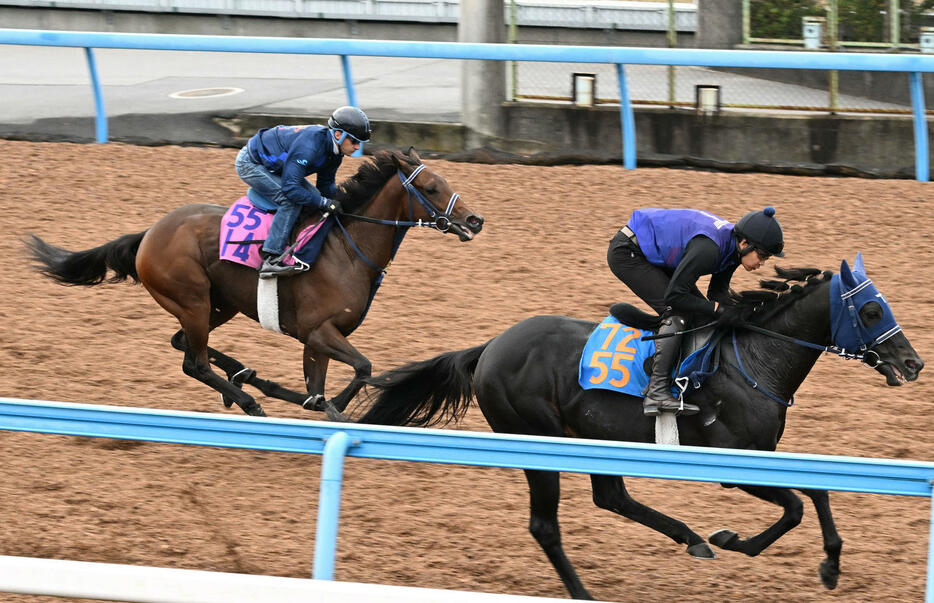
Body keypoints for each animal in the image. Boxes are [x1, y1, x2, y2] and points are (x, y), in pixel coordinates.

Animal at [28, 149, 482, 418]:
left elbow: (321, 386)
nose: (474, 220)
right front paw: (331, 406)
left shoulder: (317, 339)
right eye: (430, 187)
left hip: (219, 303)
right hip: (192, 299)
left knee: (185, 344)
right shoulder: (319, 331)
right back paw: (247, 398)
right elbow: (361, 370)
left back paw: (242, 376)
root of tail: (149, 234)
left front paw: (309, 398)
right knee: (193, 361)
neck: (347, 251)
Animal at [342, 258, 920, 600]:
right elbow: (796, 506)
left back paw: (690, 539)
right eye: (872, 309)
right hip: (540, 440)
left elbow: (817, 491)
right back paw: (588, 589)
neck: (754, 356)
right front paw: (735, 540)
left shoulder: (766, 453)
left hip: (594, 439)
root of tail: (489, 348)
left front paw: (830, 566)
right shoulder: (732, 466)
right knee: (547, 525)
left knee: (611, 497)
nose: (913, 364)